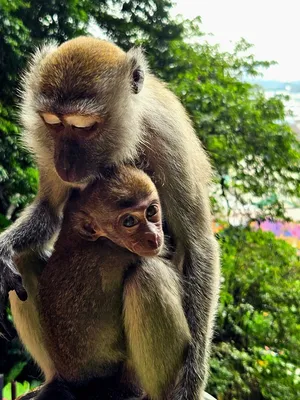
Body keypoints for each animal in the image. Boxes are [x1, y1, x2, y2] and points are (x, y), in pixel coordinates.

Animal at [32, 166, 190, 400]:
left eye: (151, 211)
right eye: (129, 222)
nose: (153, 237)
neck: (100, 239)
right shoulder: (124, 254)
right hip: (129, 381)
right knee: (149, 273)